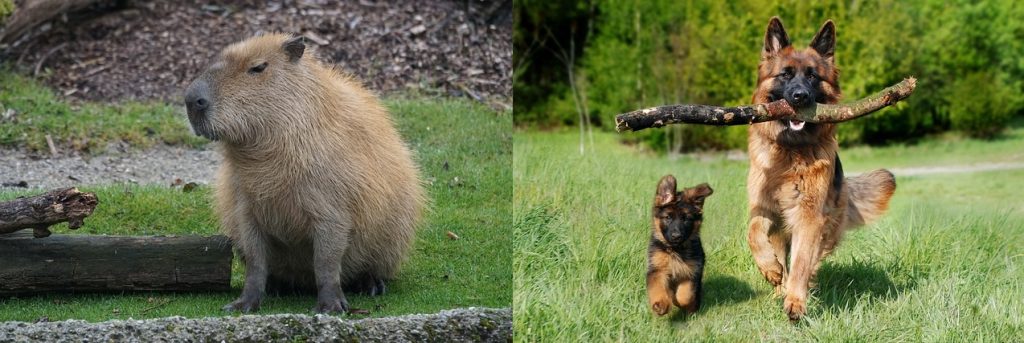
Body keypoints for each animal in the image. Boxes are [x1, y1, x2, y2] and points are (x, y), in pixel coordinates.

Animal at [647, 176, 712, 319]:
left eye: (686, 219)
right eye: (668, 217)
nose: (676, 236)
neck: (675, 250)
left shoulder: (691, 271)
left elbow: (685, 295)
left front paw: (679, 302)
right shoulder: (657, 269)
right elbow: (658, 289)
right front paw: (661, 305)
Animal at [745, 17, 897, 321]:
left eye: (813, 77)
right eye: (785, 75)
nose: (800, 97)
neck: (790, 152)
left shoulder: (809, 216)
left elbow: (802, 261)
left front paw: (796, 301)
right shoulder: (764, 208)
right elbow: (753, 233)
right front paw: (770, 269)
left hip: (826, 226)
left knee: (810, 259)